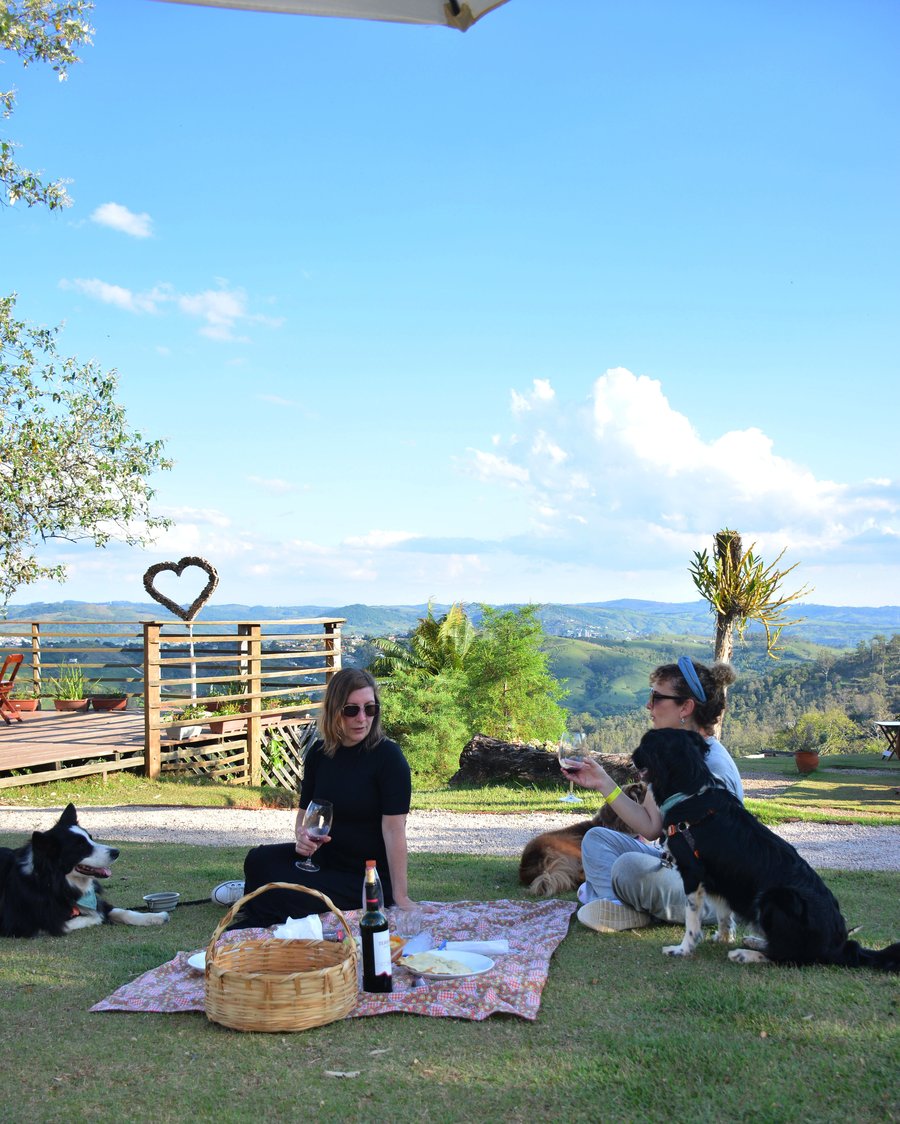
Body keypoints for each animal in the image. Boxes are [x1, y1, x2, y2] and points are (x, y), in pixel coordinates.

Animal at [633, 723, 898, 971]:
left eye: (645, 743)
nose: (632, 756)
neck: (690, 793)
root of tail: (840, 944)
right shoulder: (718, 878)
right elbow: (723, 913)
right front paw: (723, 937)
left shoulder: (693, 872)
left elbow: (692, 921)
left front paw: (683, 949)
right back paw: (755, 942)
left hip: (776, 898)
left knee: (789, 957)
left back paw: (745, 954)